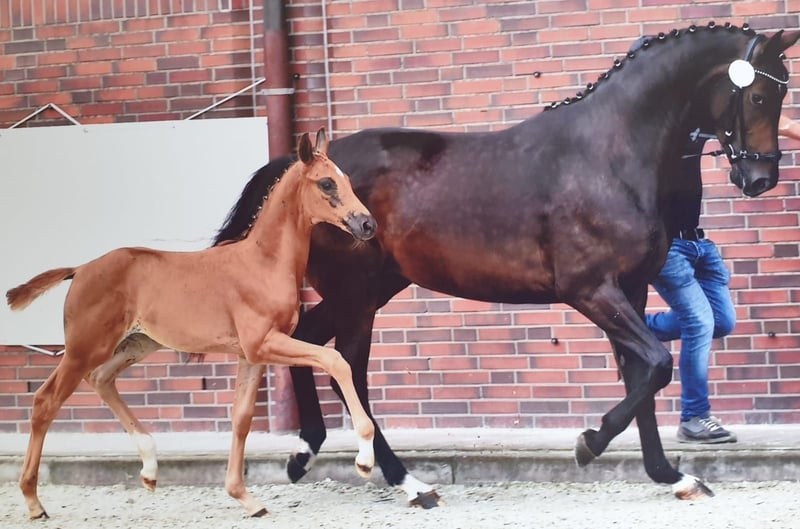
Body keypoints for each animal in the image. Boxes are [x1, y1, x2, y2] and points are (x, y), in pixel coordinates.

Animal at [6, 129, 378, 520]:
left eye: (346, 179)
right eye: (326, 183)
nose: (367, 224)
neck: (263, 263)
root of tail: (79, 270)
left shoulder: (252, 354)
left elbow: (242, 418)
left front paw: (244, 498)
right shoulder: (265, 343)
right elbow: (336, 361)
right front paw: (364, 460)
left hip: (137, 344)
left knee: (101, 379)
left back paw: (150, 468)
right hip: (84, 348)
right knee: (45, 401)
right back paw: (33, 502)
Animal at [214, 24, 800, 506]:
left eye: (782, 92)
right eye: (760, 94)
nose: (759, 179)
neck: (609, 153)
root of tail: (299, 168)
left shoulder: (631, 291)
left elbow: (645, 374)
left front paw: (670, 475)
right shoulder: (591, 290)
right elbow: (657, 364)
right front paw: (590, 442)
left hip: (367, 290)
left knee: (309, 345)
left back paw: (305, 452)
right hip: (355, 295)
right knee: (347, 370)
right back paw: (408, 482)